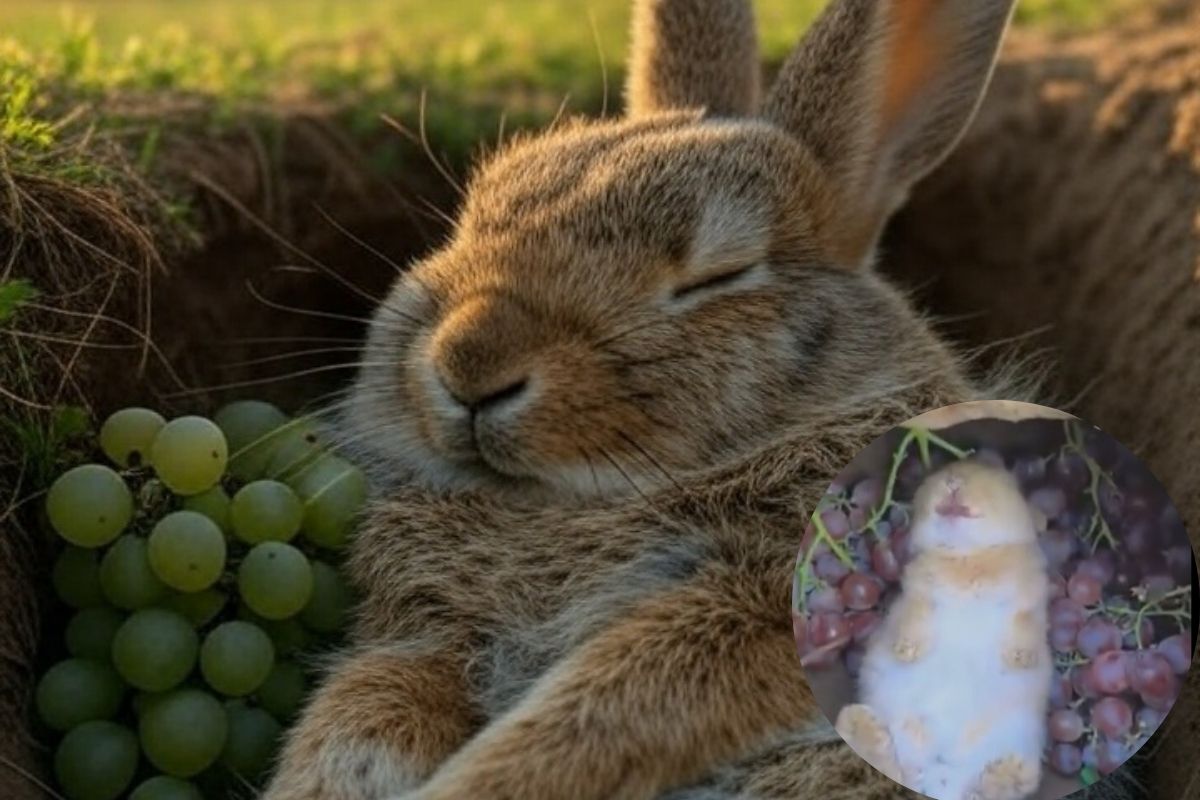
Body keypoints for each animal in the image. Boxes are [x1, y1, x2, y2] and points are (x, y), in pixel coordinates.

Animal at [838, 459, 1052, 800]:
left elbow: (1025, 625)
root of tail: (934, 782)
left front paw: (1020, 658)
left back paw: (1012, 771)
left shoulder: (1029, 602)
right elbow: (915, 617)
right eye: (939, 473)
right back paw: (860, 724)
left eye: (1003, 479)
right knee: (886, 763)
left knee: (987, 791)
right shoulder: (918, 595)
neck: (967, 555)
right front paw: (906, 651)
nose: (953, 481)